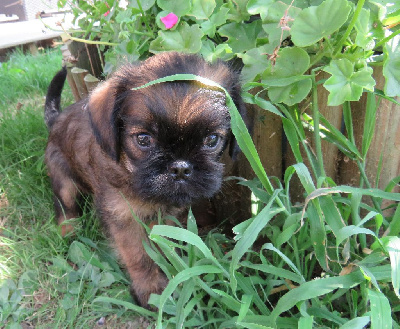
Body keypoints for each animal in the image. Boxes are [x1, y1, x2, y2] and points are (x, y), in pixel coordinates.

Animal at [43, 52, 244, 308]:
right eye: (143, 139)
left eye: (211, 140)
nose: (180, 167)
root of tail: (56, 120)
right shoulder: (124, 218)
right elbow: (140, 257)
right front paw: (150, 290)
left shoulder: (167, 217)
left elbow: (162, 246)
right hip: (64, 181)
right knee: (63, 203)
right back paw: (69, 230)